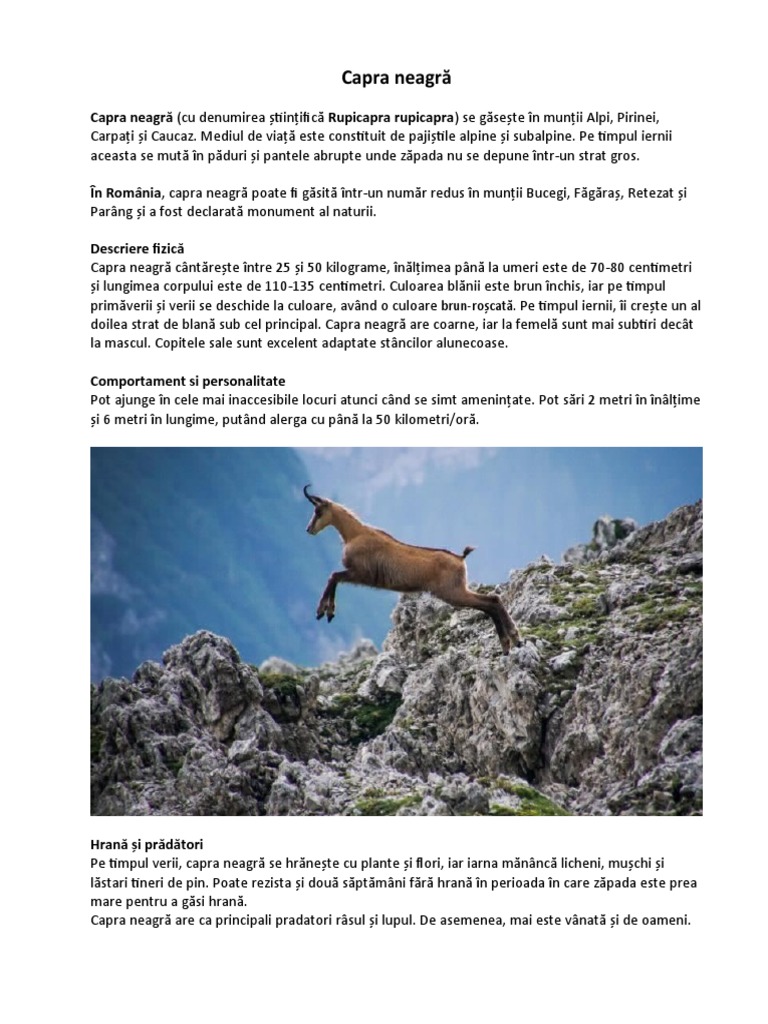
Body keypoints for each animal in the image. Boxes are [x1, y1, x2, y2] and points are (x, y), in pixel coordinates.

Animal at [303, 485, 519, 654]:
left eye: (318, 511)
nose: (309, 529)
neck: (354, 534)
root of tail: (460, 558)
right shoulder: (357, 574)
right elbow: (334, 578)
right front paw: (327, 612)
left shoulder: (360, 573)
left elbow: (333, 577)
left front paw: (324, 611)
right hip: (457, 591)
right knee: (491, 602)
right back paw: (511, 642)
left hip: (453, 592)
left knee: (491, 602)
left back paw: (511, 638)